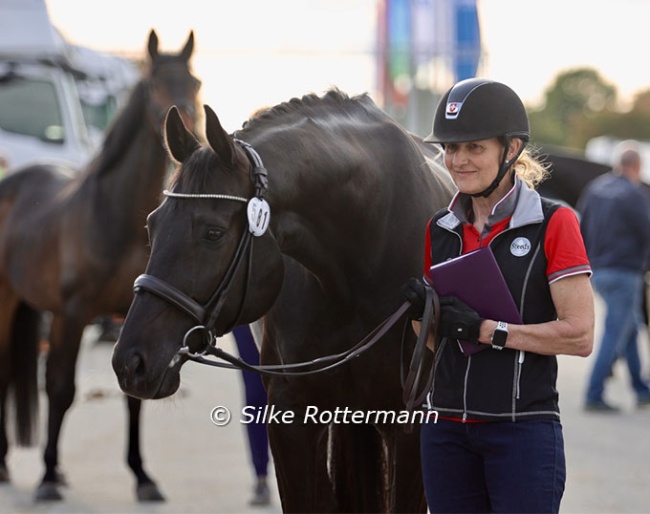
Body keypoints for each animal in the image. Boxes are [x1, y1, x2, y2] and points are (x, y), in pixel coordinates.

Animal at [0, 29, 199, 500]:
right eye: (155, 85)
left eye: (195, 83)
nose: (192, 131)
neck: (114, 217)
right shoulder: (75, 314)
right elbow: (61, 388)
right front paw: (47, 477)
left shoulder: (133, 317)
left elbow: (133, 394)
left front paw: (143, 478)